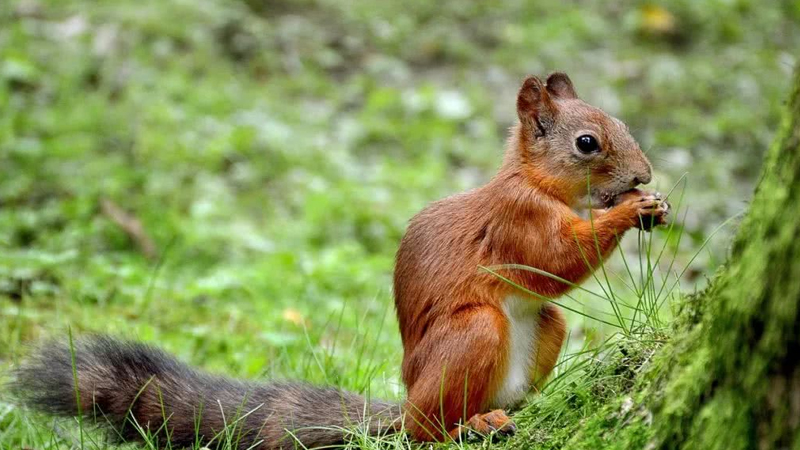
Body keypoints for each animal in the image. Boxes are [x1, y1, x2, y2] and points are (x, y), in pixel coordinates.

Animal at [10, 72, 668, 448]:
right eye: (587, 143)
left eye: (622, 122)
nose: (644, 174)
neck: (536, 183)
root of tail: (404, 403)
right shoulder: (515, 220)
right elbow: (554, 260)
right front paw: (631, 211)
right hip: (470, 336)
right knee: (423, 433)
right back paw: (466, 426)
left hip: (540, 333)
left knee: (542, 329)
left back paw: (520, 407)